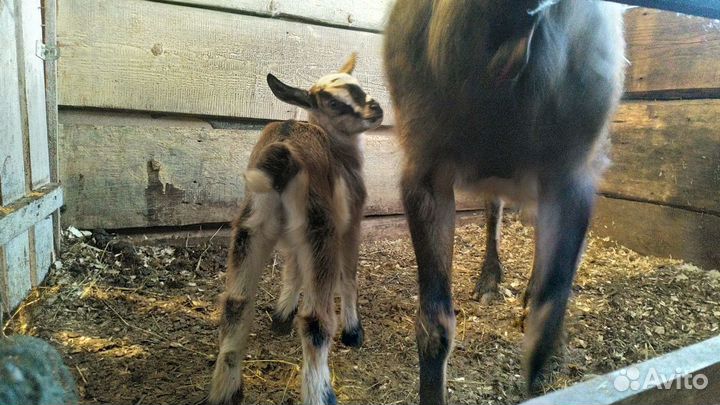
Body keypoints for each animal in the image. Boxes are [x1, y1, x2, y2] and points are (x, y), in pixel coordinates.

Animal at [208, 54, 382, 404]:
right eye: (333, 102)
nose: (376, 109)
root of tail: (284, 155)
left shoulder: (294, 241)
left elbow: (293, 270)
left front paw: (281, 316)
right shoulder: (350, 224)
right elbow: (349, 277)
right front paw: (354, 332)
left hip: (252, 226)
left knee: (236, 303)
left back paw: (226, 391)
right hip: (320, 231)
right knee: (315, 321)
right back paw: (322, 393)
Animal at [386, 0, 628, 400]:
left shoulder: (572, 172)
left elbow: (545, 327)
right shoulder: (425, 170)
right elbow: (434, 327)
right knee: (494, 211)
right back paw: (490, 281)